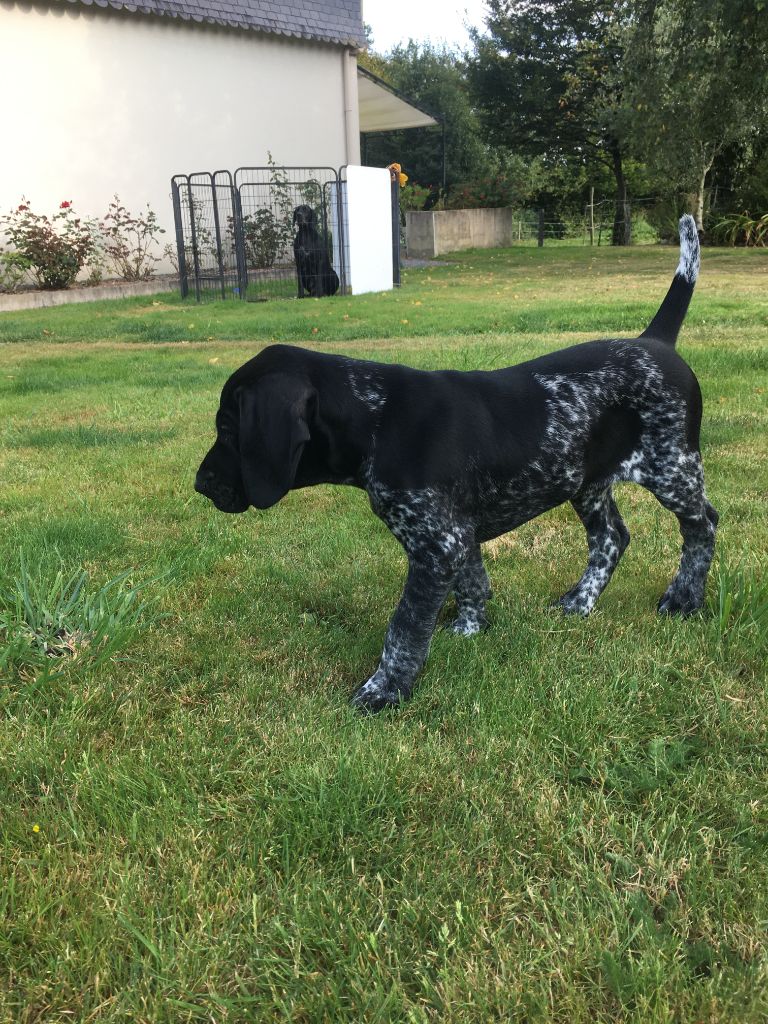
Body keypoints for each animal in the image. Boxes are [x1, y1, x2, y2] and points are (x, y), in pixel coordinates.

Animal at [195, 216, 720, 712]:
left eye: (228, 430)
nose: (200, 484)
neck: (376, 417)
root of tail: (654, 343)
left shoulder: (437, 545)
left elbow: (405, 626)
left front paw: (385, 689)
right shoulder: (456, 535)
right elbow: (473, 582)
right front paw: (471, 628)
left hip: (672, 468)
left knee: (703, 527)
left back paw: (684, 599)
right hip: (586, 481)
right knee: (611, 537)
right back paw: (580, 601)